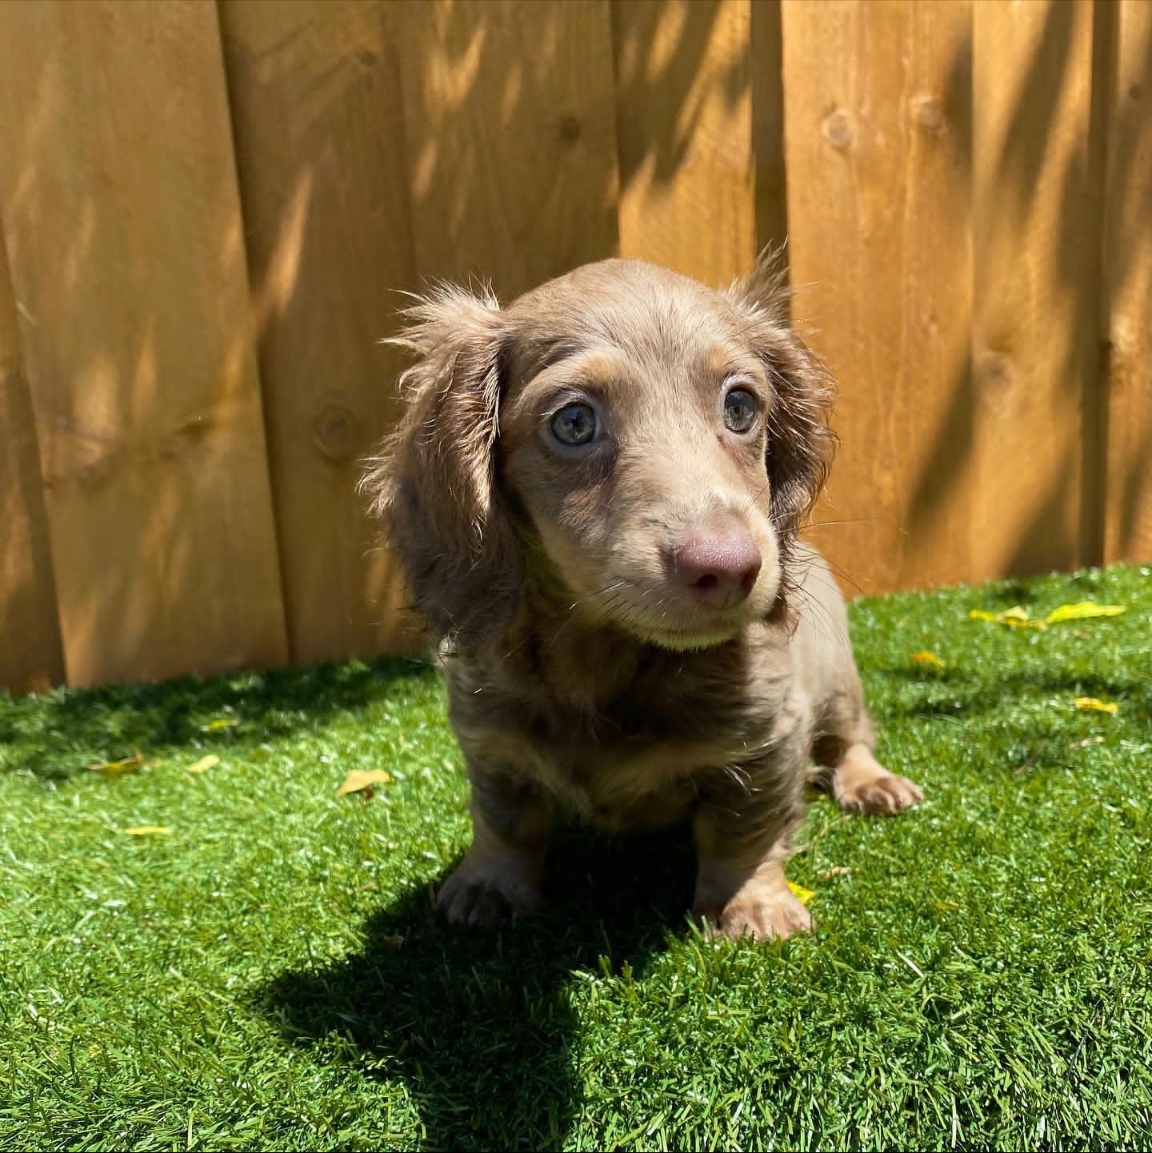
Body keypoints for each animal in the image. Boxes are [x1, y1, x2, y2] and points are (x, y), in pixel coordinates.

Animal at [364, 257, 922, 940]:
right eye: (573, 422)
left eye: (740, 405)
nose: (730, 567)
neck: (610, 662)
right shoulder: (489, 736)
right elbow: (505, 819)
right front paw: (488, 884)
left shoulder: (769, 739)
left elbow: (743, 831)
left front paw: (749, 904)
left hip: (839, 686)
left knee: (850, 740)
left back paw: (872, 782)